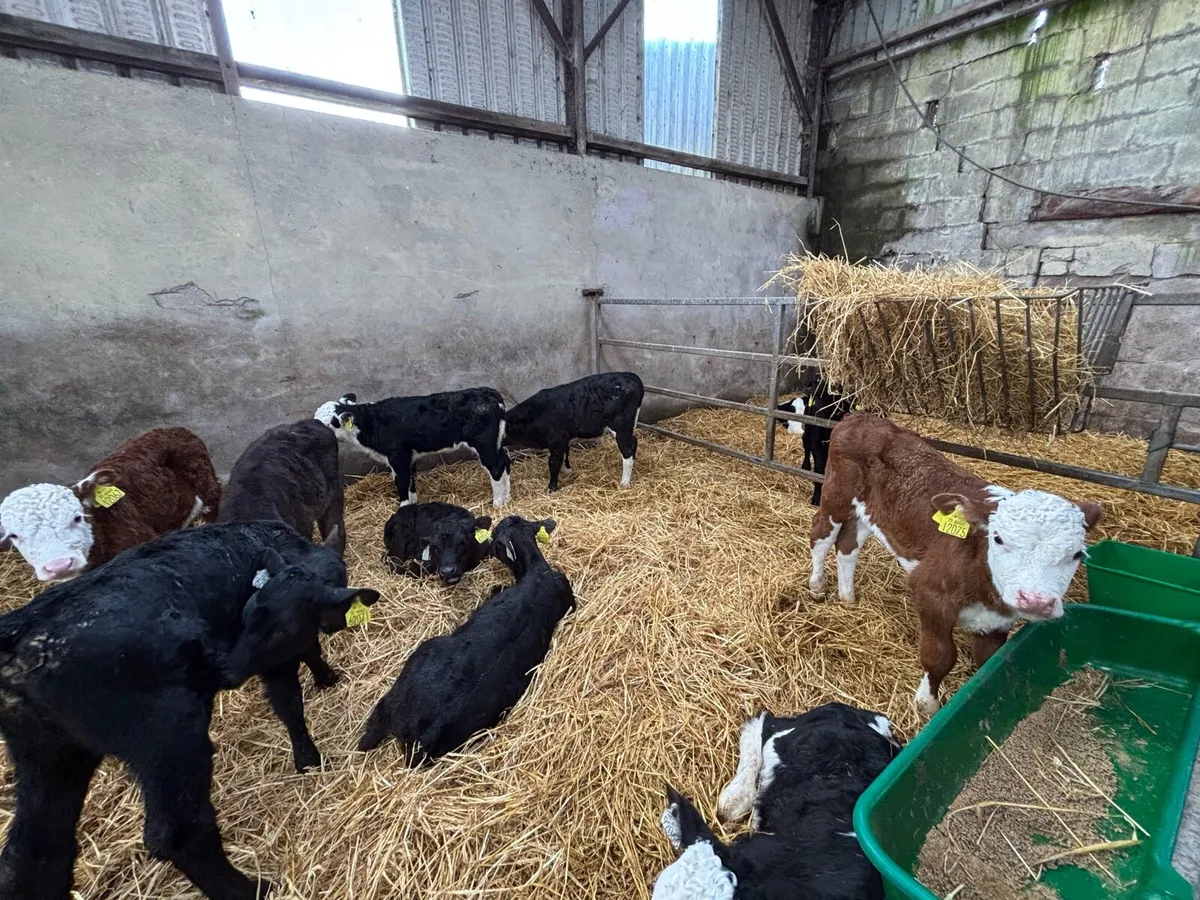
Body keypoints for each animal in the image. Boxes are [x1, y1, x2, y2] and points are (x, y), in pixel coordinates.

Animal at [0, 521, 379, 900]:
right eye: (250, 614)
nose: (227, 669)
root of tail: (19, 644)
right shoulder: (278, 656)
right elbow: (290, 700)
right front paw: (309, 756)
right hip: (167, 735)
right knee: (179, 832)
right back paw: (250, 889)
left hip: (52, 755)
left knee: (35, 855)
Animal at [315, 389, 510, 508]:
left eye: (327, 424)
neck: (371, 422)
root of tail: (489, 393)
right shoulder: (408, 457)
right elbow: (410, 481)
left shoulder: (398, 457)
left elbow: (401, 482)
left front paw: (403, 508)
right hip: (496, 443)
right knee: (506, 462)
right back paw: (507, 498)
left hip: (484, 445)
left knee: (496, 468)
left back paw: (498, 503)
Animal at [504, 372, 644, 491]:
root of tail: (629, 375)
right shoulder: (563, 439)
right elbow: (565, 455)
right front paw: (568, 472)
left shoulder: (557, 440)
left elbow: (553, 462)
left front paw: (552, 488)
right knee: (634, 442)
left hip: (620, 426)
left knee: (628, 450)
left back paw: (624, 483)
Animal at [809, 414, 1103, 717]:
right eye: (998, 538)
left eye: (1078, 555)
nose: (1036, 601)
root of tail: (862, 416)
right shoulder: (930, 594)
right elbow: (939, 657)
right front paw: (927, 704)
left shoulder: (998, 621)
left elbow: (986, 662)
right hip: (836, 494)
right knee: (821, 535)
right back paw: (817, 586)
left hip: (868, 513)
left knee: (847, 547)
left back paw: (847, 597)